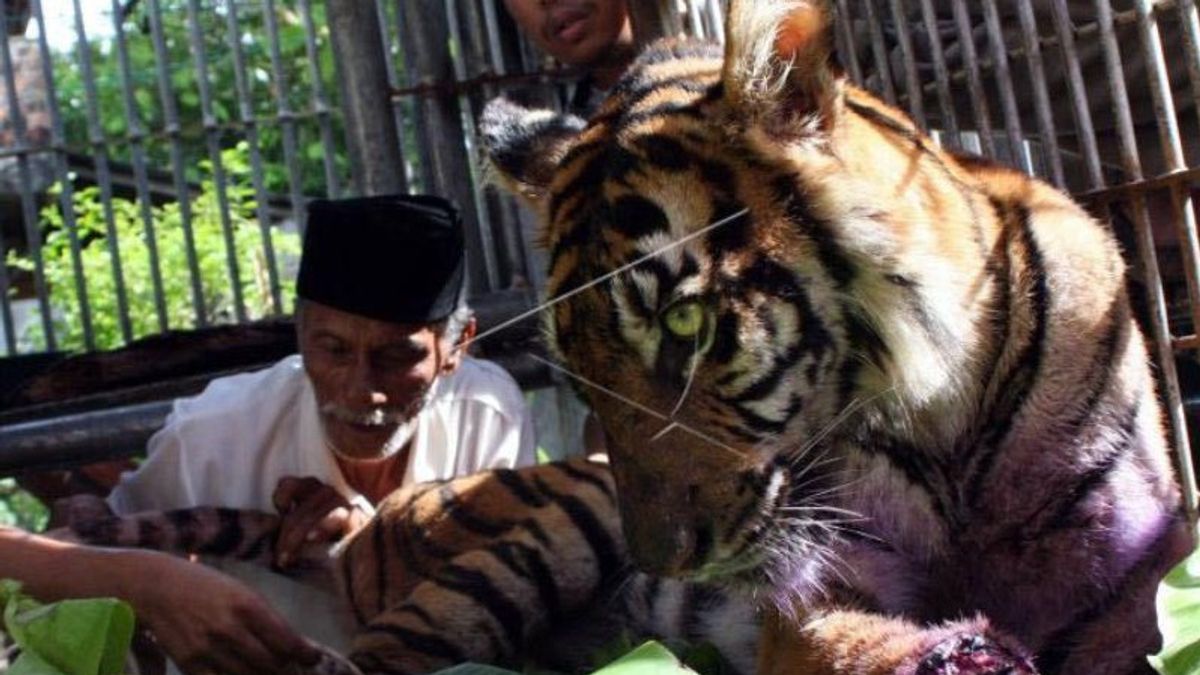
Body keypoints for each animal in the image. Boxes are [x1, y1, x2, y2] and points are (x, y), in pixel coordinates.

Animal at [472, 1, 1195, 672]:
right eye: (580, 373)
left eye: (684, 322)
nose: (663, 563)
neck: (941, 424)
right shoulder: (815, 592)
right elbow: (850, 641)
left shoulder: (1129, 566)